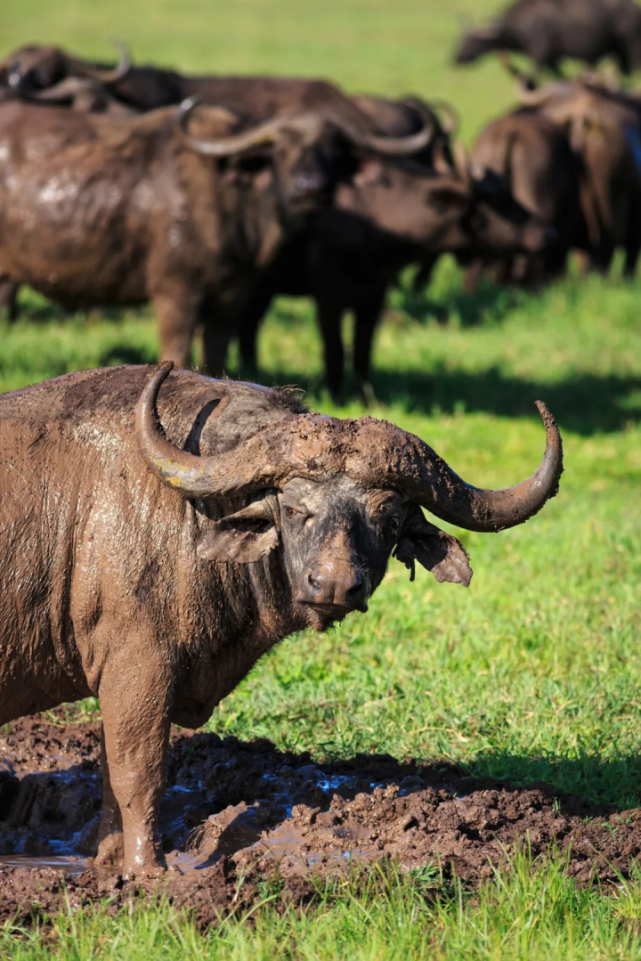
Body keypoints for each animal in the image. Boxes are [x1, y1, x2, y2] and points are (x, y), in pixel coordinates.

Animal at [0, 100, 430, 372]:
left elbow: (216, 359)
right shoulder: (175, 295)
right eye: (280, 150)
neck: (233, 201)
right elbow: (176, 352)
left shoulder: (230, 301)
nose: (310, 188)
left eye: (335, 150)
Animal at [0, 362, 560, 876]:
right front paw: (147, 872)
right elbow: (139, 772)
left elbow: (113, 777)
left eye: (388, 518)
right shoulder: (138, 667)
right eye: (293, 509)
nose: (333, 584)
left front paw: (109, 865)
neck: (190, 513)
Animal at [452, 0, 640, 75]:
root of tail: (635, 9)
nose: (456, 58)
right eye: (461, 39)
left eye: (473, 40)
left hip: (631, 53)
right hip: (620, 57)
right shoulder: (552, 62)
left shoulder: (540, 58)